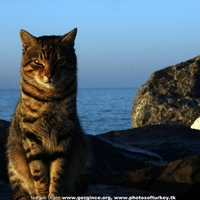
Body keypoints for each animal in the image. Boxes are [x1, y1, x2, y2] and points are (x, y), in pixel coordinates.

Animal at [6, 28, 92, 200]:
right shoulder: (31, 137)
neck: (49, 98)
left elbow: (57, 170)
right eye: (37, 62)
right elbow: (39, 171)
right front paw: (42, 194)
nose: (49, 75)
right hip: (14, 160)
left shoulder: (64, 135)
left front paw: (54, 194)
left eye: (60, 61)